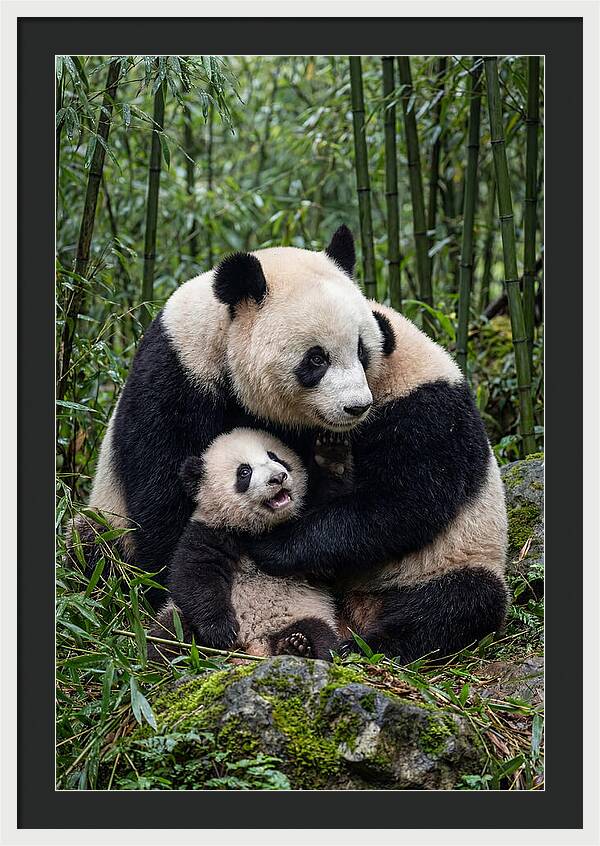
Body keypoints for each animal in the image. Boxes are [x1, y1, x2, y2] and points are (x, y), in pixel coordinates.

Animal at [149, 428, 345, 661]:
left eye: (275, 457)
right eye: (244, 472)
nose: (278, 478)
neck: (257, 528)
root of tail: (254, 645)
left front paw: (331, 456)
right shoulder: (210, 531)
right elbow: (195, 575)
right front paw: (221, 631)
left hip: (303, 613)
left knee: (320, 635)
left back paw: (297, 647)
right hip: (177, 618)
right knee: (167, 635)